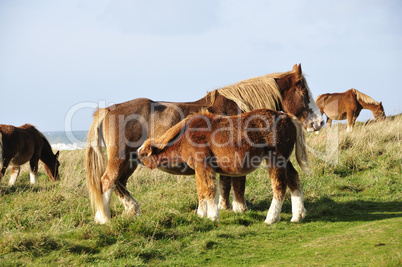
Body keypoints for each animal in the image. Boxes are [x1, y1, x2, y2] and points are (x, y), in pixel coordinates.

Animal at [137, 110, 308, 225]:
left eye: (143, 154)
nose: (136, 158)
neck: (185, 136)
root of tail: (287, 116)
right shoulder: (198, 168)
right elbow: (200, 190)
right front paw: (201, 214)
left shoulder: (204, 165)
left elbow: (209, 189)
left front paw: (213, 216)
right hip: (284, 159)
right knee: (294, 178)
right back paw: (297, 216)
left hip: (275, 158)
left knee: (279, 186)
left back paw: (271, 218)